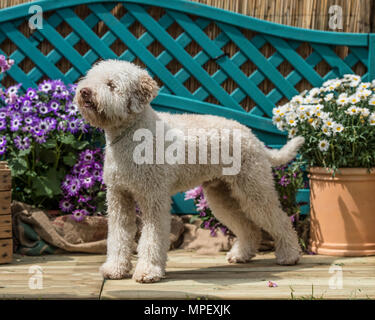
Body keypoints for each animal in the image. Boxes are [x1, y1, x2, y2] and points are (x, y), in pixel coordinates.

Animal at [74, 59, 306, 282]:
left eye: (111, 85)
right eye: (92, 78)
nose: (84, 91)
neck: (134, 134)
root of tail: (253, 137)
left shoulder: (153, 197)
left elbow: (152, 237)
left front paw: (148, 271)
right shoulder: (119, 197)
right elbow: (118, 236)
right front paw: (114, 269)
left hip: (254, 190)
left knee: (281, 220)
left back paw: (289, 255)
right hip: (221, 196)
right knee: (249, 227)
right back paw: (241, 255)